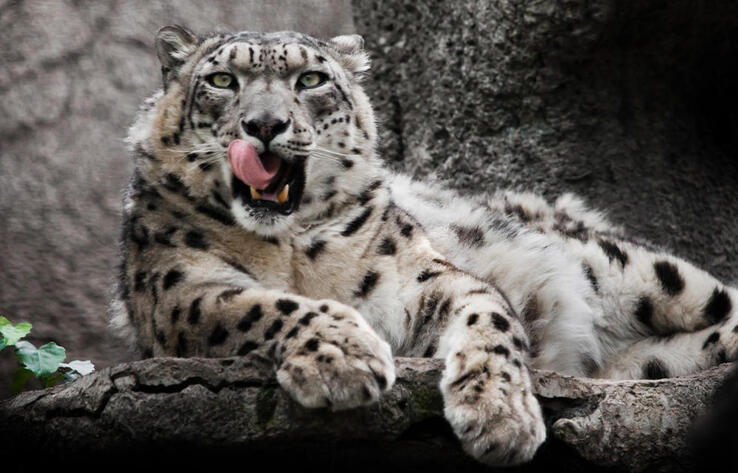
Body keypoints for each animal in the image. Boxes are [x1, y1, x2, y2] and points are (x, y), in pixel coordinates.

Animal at [109, 25, 738, 466]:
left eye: (310, 80)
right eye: (222, 81)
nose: (264, 125)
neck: (288, 248)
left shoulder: (424, 278)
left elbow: (490, 318)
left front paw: (500, 416)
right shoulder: (181, 290)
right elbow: (264, 305)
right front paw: (344, 356)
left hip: (629, 268)